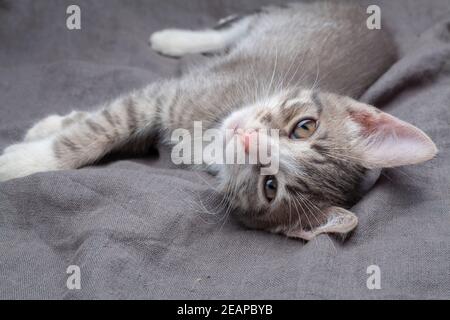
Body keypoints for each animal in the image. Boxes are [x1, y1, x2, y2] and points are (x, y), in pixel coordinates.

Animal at [0, 1, 436, 240]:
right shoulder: (165, 96)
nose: (247, 137)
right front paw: (33, 151)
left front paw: (29, 151)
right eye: (305, 126)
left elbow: (105, 128)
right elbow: (100, 127)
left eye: (270, 186)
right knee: (233, 29)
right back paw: (175, 37)